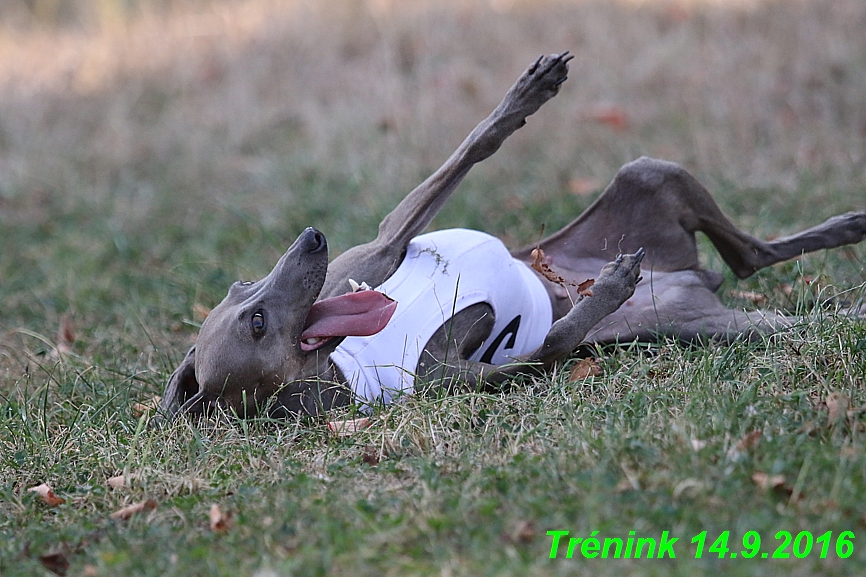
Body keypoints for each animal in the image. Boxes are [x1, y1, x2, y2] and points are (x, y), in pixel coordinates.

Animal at [157, 53, 864, 418]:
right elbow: (553, 344)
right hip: (716, 323)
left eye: (241, 285)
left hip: (650, 175)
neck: (344, 357)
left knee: (748, 253)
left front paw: (524, 98)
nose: (311, 240)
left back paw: (848, 224)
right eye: (255, 322)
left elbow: (468, 151)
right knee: (759, 282)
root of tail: (691, 278)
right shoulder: (477, 378)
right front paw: (609, 286)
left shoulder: (378, 249)